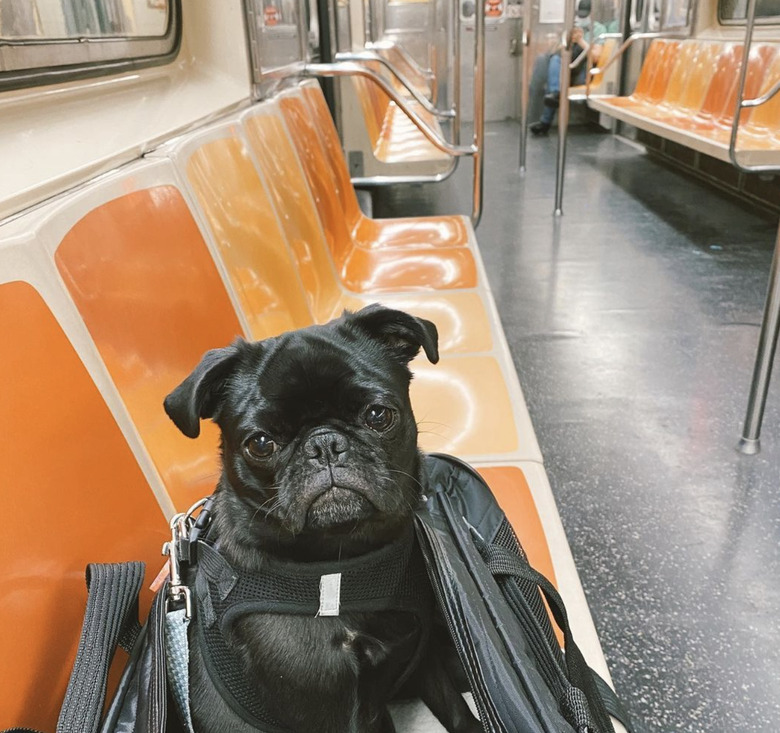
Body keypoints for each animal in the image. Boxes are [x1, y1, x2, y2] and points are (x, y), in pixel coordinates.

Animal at [164, 304, 482, 732]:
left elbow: (456, 709)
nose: (324, 444)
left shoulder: (422, 654)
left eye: (378, 415)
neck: (340, 563)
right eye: (260, 443)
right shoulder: (341, 713)